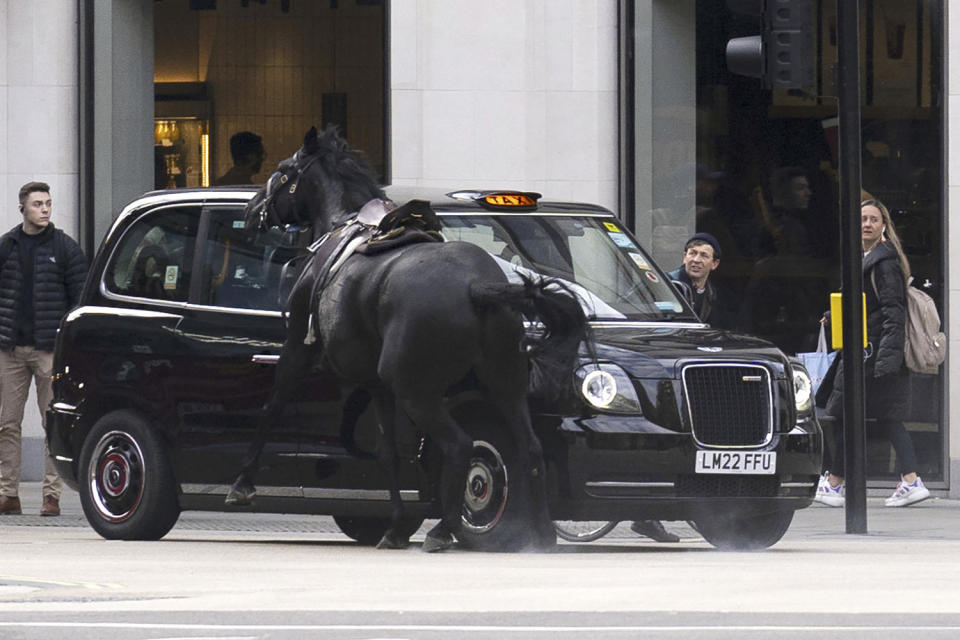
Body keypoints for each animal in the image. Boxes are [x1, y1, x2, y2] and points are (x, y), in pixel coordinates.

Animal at [230, 127, 588, 552]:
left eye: (284, 170)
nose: (251, 211)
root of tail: (476, 286)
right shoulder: (376, 383)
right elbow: (389, 454)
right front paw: (397, 525)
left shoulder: (298, 350)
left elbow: (271, 409)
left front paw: (242, 484)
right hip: (504, 383)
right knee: (529, 448)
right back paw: (541, 533)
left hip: (416, 391)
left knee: (460, 446)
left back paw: (444, 529)